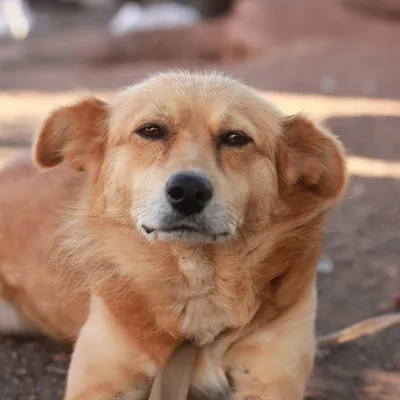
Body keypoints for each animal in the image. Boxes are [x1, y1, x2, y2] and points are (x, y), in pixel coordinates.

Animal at [0, 72, 346, 400]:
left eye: (236, 138)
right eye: (151, 130)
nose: (189, 191)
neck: (197, 279)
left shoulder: (271, 378)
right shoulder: (100, 380)